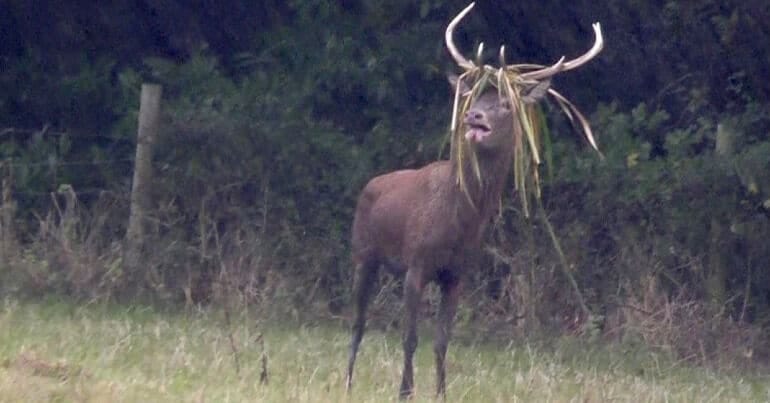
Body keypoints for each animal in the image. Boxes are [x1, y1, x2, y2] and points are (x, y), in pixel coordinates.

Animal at [346, 3, 603, 399]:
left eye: (505, 103)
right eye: (475, 97)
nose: (473, 115)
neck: (458, 222)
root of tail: (370, 183)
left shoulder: (458, 273)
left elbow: (442, 341)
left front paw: (441, 393)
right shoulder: (417, 262)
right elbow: (410, 338)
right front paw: (405, 392)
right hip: (363, 252)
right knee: (357, 323)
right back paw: (346, 383)